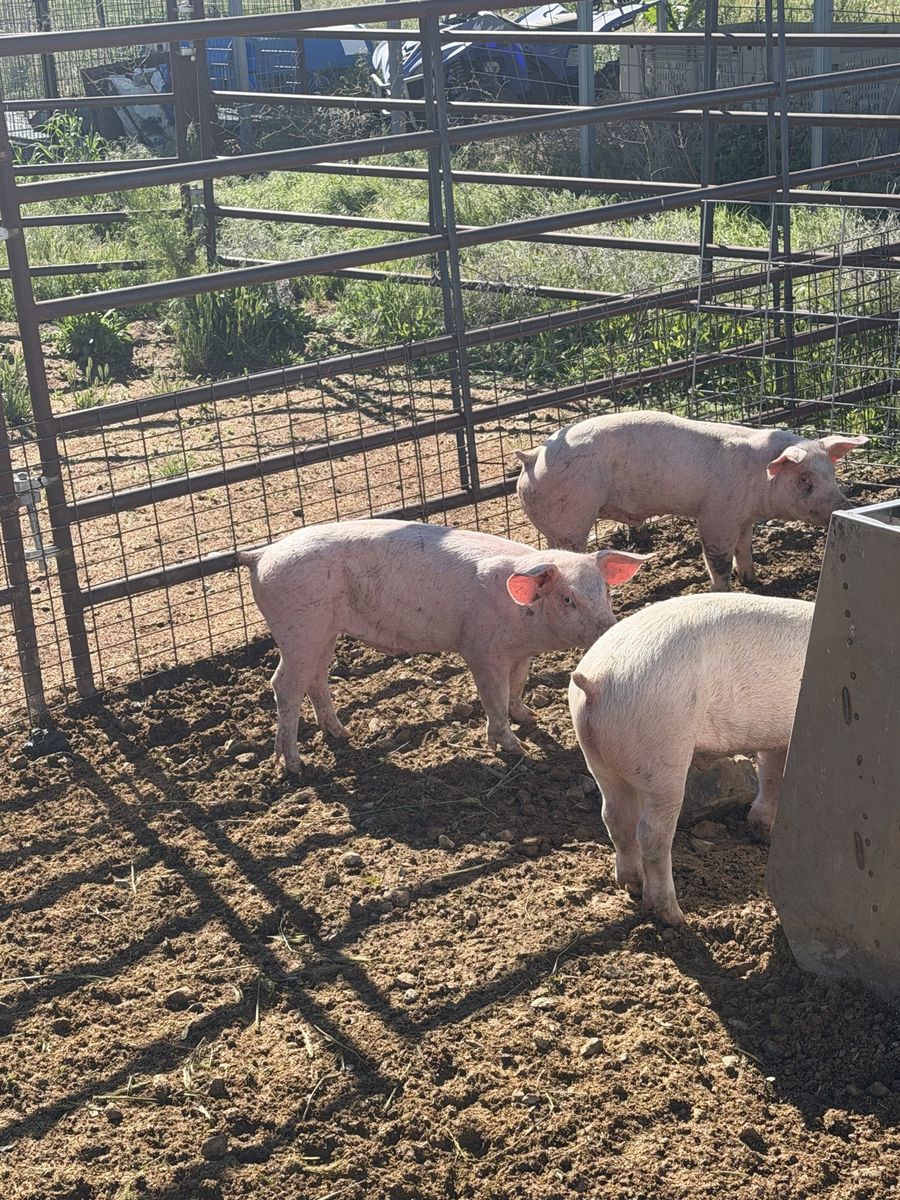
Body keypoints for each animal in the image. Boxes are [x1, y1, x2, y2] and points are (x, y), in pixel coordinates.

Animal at [238, 518, 648, 771]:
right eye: (567, 599)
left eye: (605, 591)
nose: (612, 629)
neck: (524, 616)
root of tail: (262, 555)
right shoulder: (481, 649)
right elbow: (495, 696)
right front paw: (517, 748)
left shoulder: (520, 653)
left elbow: (518, 686)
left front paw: (530, 716)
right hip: (298, 629)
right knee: (284, 685)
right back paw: (294, 765)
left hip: (324, 632)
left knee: (316, 679)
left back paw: (342, 734)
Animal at [516, 409, 867, 591]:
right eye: (805, 480)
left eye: (831, 473)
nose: (845, 506)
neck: (758, 477)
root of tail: (532, 457)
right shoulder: (716, 515)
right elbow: (718, 559)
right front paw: (723, 592)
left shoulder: (743, 518)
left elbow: (744, 548)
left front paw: (753, 580)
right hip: (572, 519)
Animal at [568, 592, 813, 926]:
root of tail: (596, 679)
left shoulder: (776, 735)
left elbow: (771, 775)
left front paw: (761, 832)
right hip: (663, 754)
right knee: (653, 834)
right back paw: (674, 916)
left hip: (598, 760)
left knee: (615, 818)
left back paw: (633, 886)